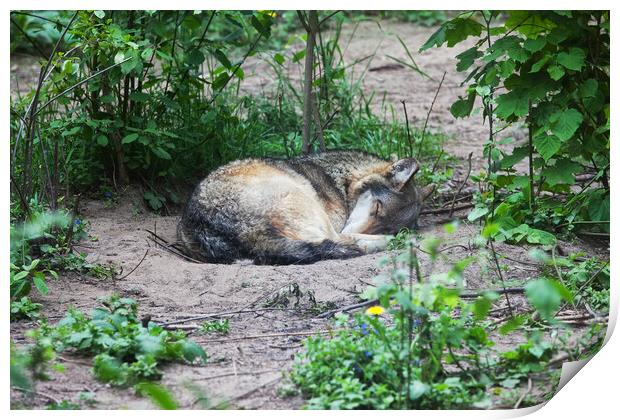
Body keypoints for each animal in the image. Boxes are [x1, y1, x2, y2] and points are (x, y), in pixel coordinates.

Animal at [177, 149, 434, 264]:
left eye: (385, 223)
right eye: (377, 208)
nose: (389, 234)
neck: (342, 181)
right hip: (305, 201)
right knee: (335, 240)